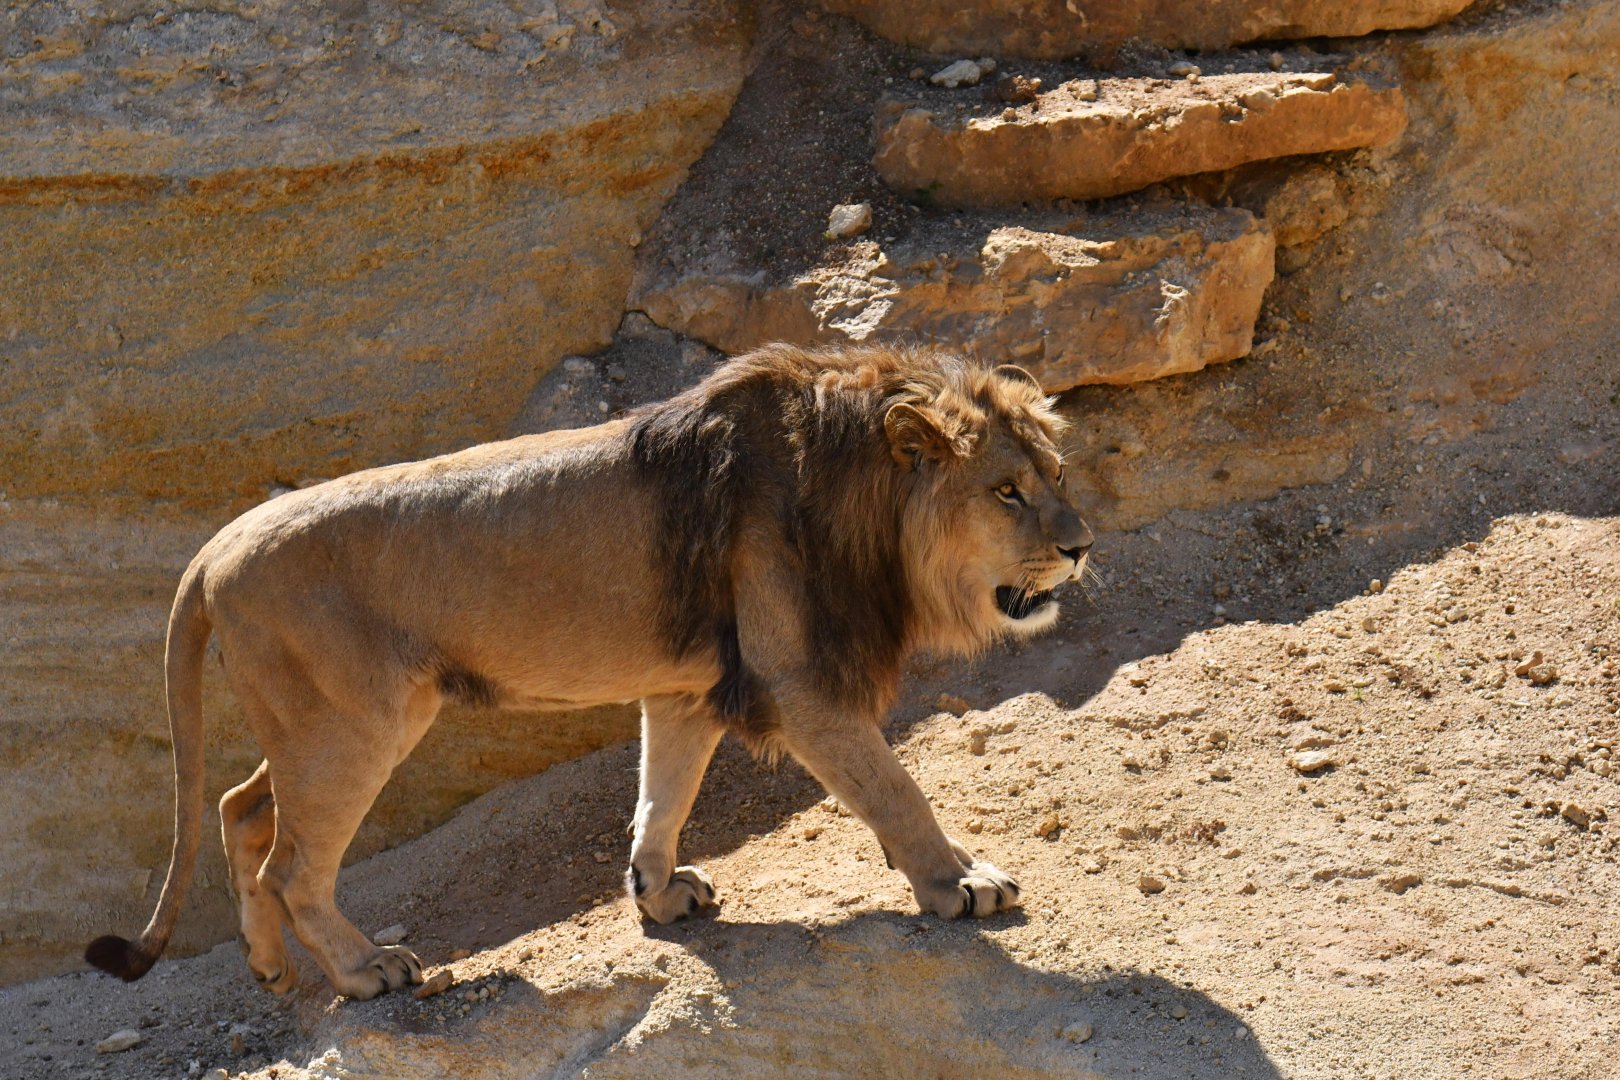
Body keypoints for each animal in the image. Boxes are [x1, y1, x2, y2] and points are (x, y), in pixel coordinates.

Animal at [86, 343, 1093, 1000]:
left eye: (1057, 474)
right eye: (1007, 492)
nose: (1081, 547)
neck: (862, 498)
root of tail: (214, 547)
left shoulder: (691, 687)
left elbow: (664, 792)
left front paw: (658, 892)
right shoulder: (800, 686)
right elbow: (895, 790)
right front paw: (960, 883)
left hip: (319, 726)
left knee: (237, 810)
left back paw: (267, 966)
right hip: (354, 725)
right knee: (292, 862)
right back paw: (368, 970)